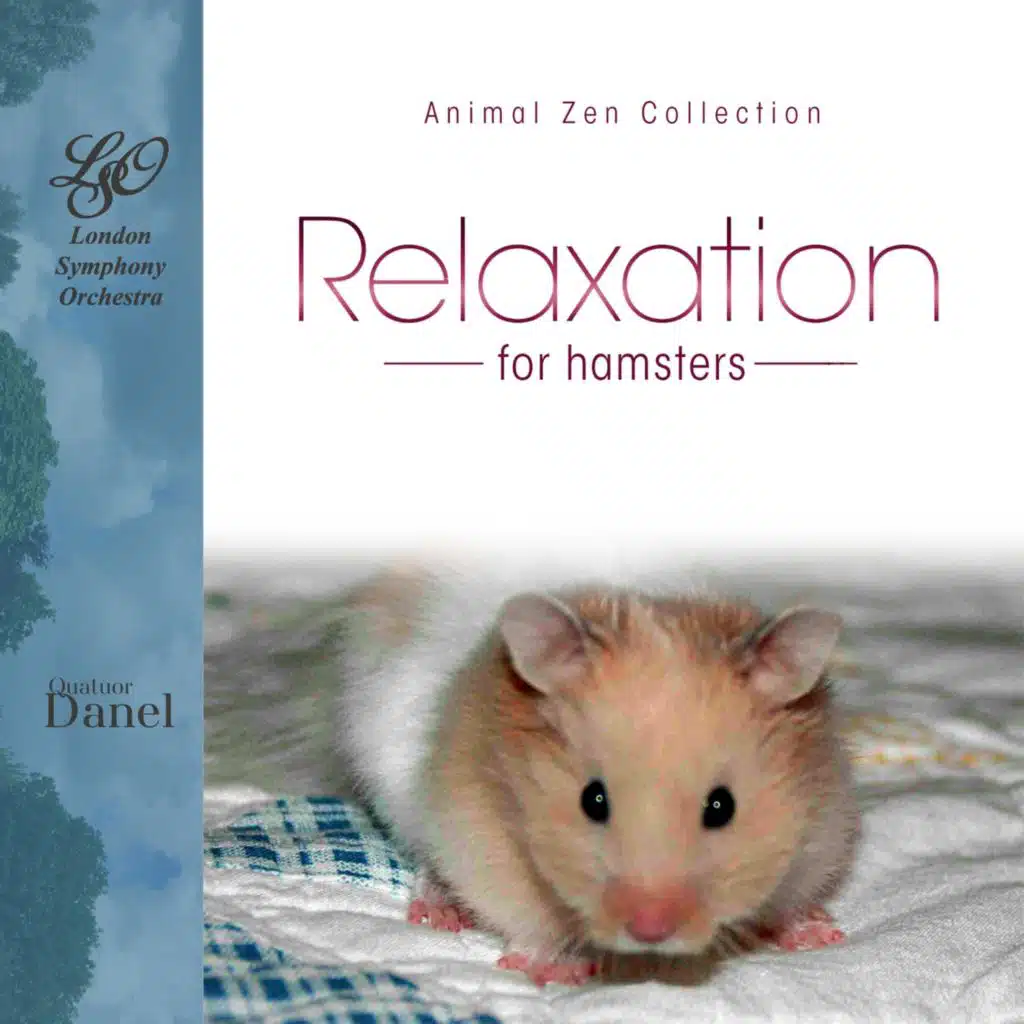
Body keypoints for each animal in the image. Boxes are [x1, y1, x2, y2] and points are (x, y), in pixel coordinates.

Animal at [331, 563, 861, 986]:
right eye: (593, 800)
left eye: (721, 806)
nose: (650, 932)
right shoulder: (477, 835)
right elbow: (524, 916)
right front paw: (554, 971)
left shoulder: (821, 829)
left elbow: (792, 896)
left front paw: (821, 933)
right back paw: (438, 913)